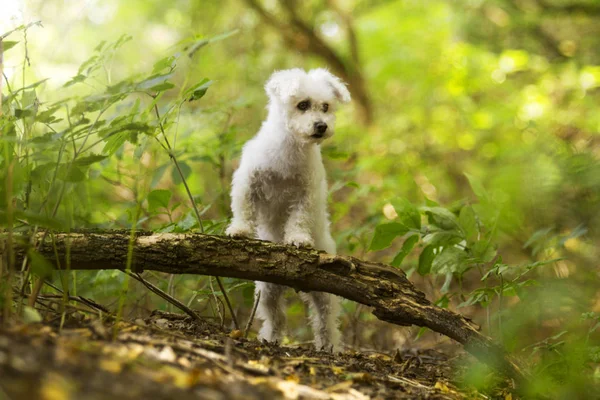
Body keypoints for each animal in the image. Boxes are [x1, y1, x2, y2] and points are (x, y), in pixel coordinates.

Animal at [225, 68, 350, 350]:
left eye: (326, 107)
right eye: (302, 105)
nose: (321, 126)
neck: (290, 150)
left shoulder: (306, 194)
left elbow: (298, 219)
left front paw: (298, 239)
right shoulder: (248, 181)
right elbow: (243, 209)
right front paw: (239, 230)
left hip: (325, 293)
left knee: (326, 322)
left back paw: (329, 346)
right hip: (267, 291)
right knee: (276, 317)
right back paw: (270, 338)